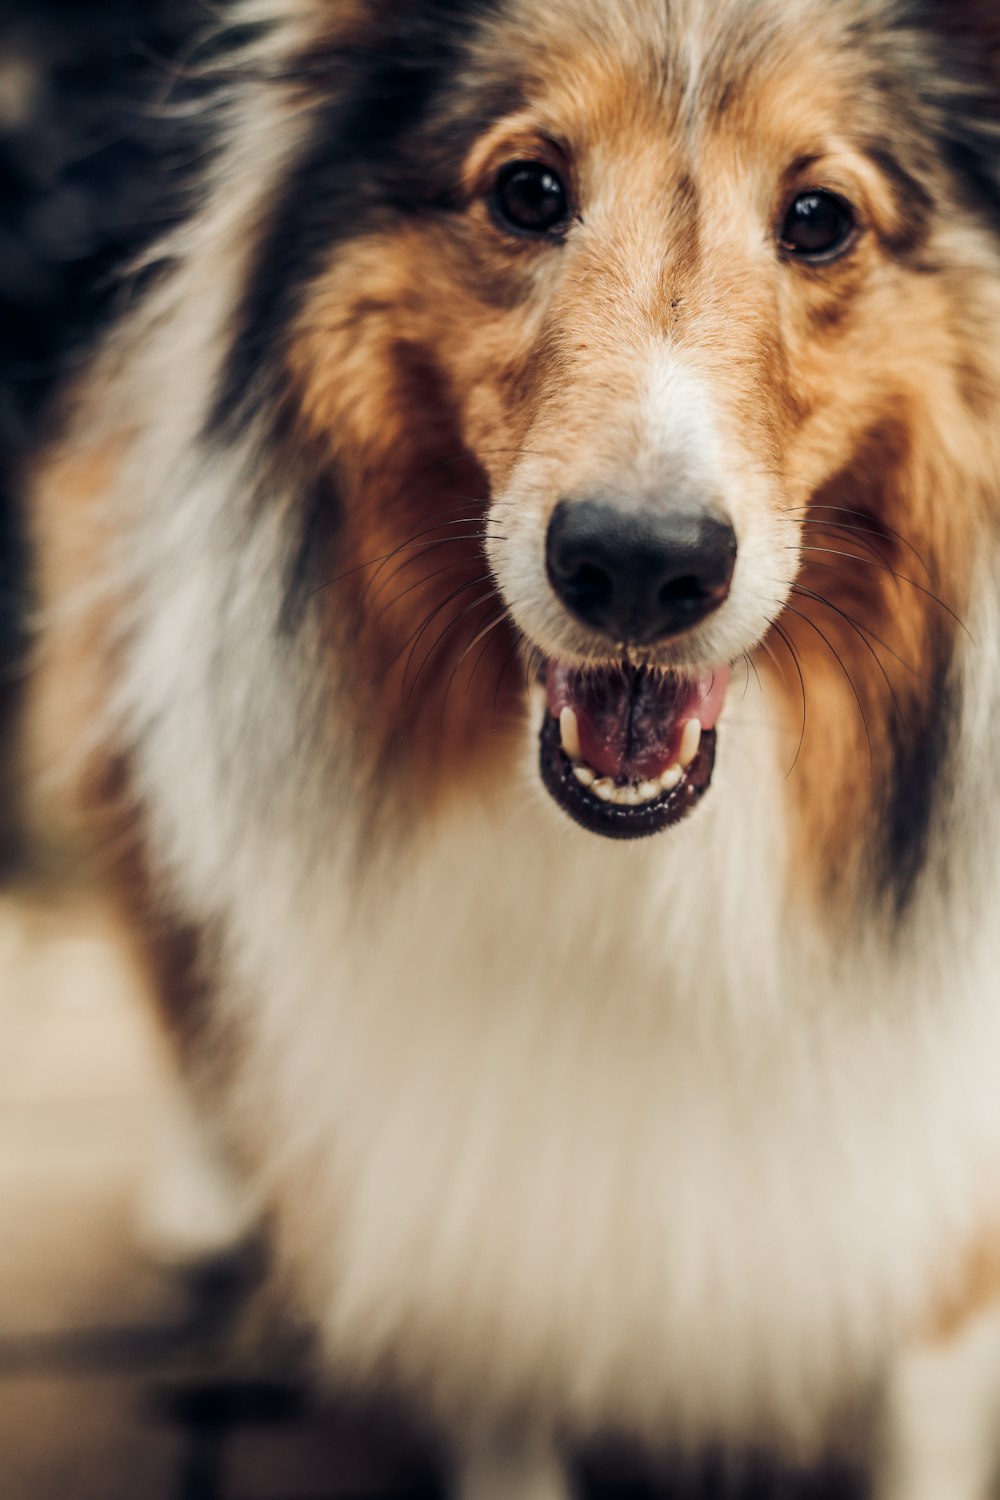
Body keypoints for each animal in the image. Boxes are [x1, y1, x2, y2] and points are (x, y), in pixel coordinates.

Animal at [19, 0, 1000, 1494]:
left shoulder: (933, 1220)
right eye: (529, 191)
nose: (639, 568)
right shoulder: (478, 1217)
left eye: (821, 217)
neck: (649, 891)